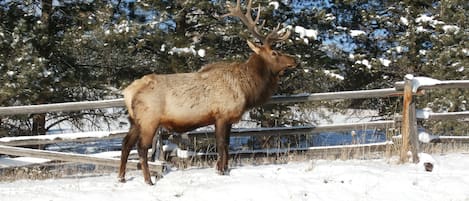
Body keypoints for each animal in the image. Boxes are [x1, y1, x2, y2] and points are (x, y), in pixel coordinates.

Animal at [119, 0, 298, 185]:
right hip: (149, 119)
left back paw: (122, 177)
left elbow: (226, 144)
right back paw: (148, 180)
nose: (295, 60)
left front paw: (225, 169)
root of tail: (129, 91)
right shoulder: (221, 116)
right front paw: (220, 170)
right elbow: (221, 145)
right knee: (141, 148)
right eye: (274, 52)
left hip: (135, 121)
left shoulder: (229, 119)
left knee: (125, 144)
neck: (247, 89)